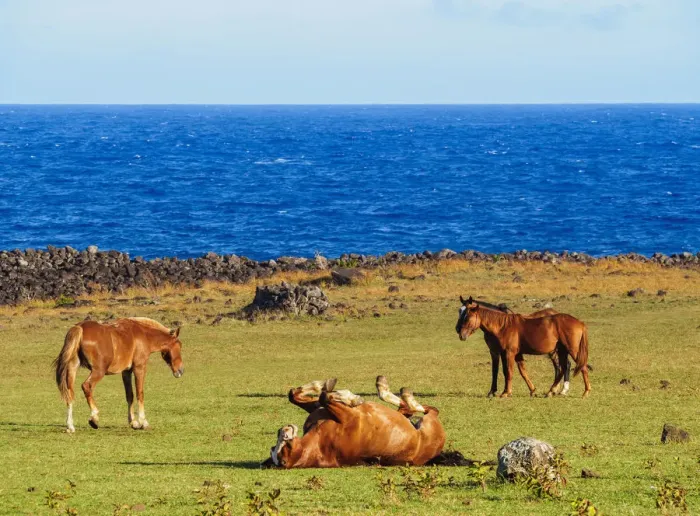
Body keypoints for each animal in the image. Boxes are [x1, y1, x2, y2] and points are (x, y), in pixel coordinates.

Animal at [53, 317, 184, 432]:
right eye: (179, 345)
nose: (181, 370)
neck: (144, 335)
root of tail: (79, 328)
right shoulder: (139, 368)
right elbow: (140, 393)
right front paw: (143, 422)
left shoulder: (126, 372)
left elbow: (129, 395)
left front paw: (133, 422)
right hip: (98, 371)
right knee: (86, 386)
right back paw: (94, 418)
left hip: (72, 368)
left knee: (70, 393)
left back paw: (70, 426)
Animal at [267, 376, 446, 468]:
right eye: (281, 453)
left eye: (278, 447)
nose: (284, 430)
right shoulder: (349, 416)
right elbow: (325, 397)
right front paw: (352, 398)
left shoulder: (317, 409)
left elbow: (295, 394)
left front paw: (323, 385)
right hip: (429, 422)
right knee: (427, 409)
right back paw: (401, 394)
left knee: (407, 408)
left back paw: (385, 387)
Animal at [456, 296, 591, 398]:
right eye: (459, 311)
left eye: (467, 316)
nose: (459, 332)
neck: (503, 326)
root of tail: (580, 323)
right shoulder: (508, 353)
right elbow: (519, 371)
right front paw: (531, 390)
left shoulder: (508, 353)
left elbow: (508, 372)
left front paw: (506, 393)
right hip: (561, 350)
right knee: (564, 368)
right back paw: (551, 391)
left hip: (572, 350)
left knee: (580, 366)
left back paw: (585, 391)